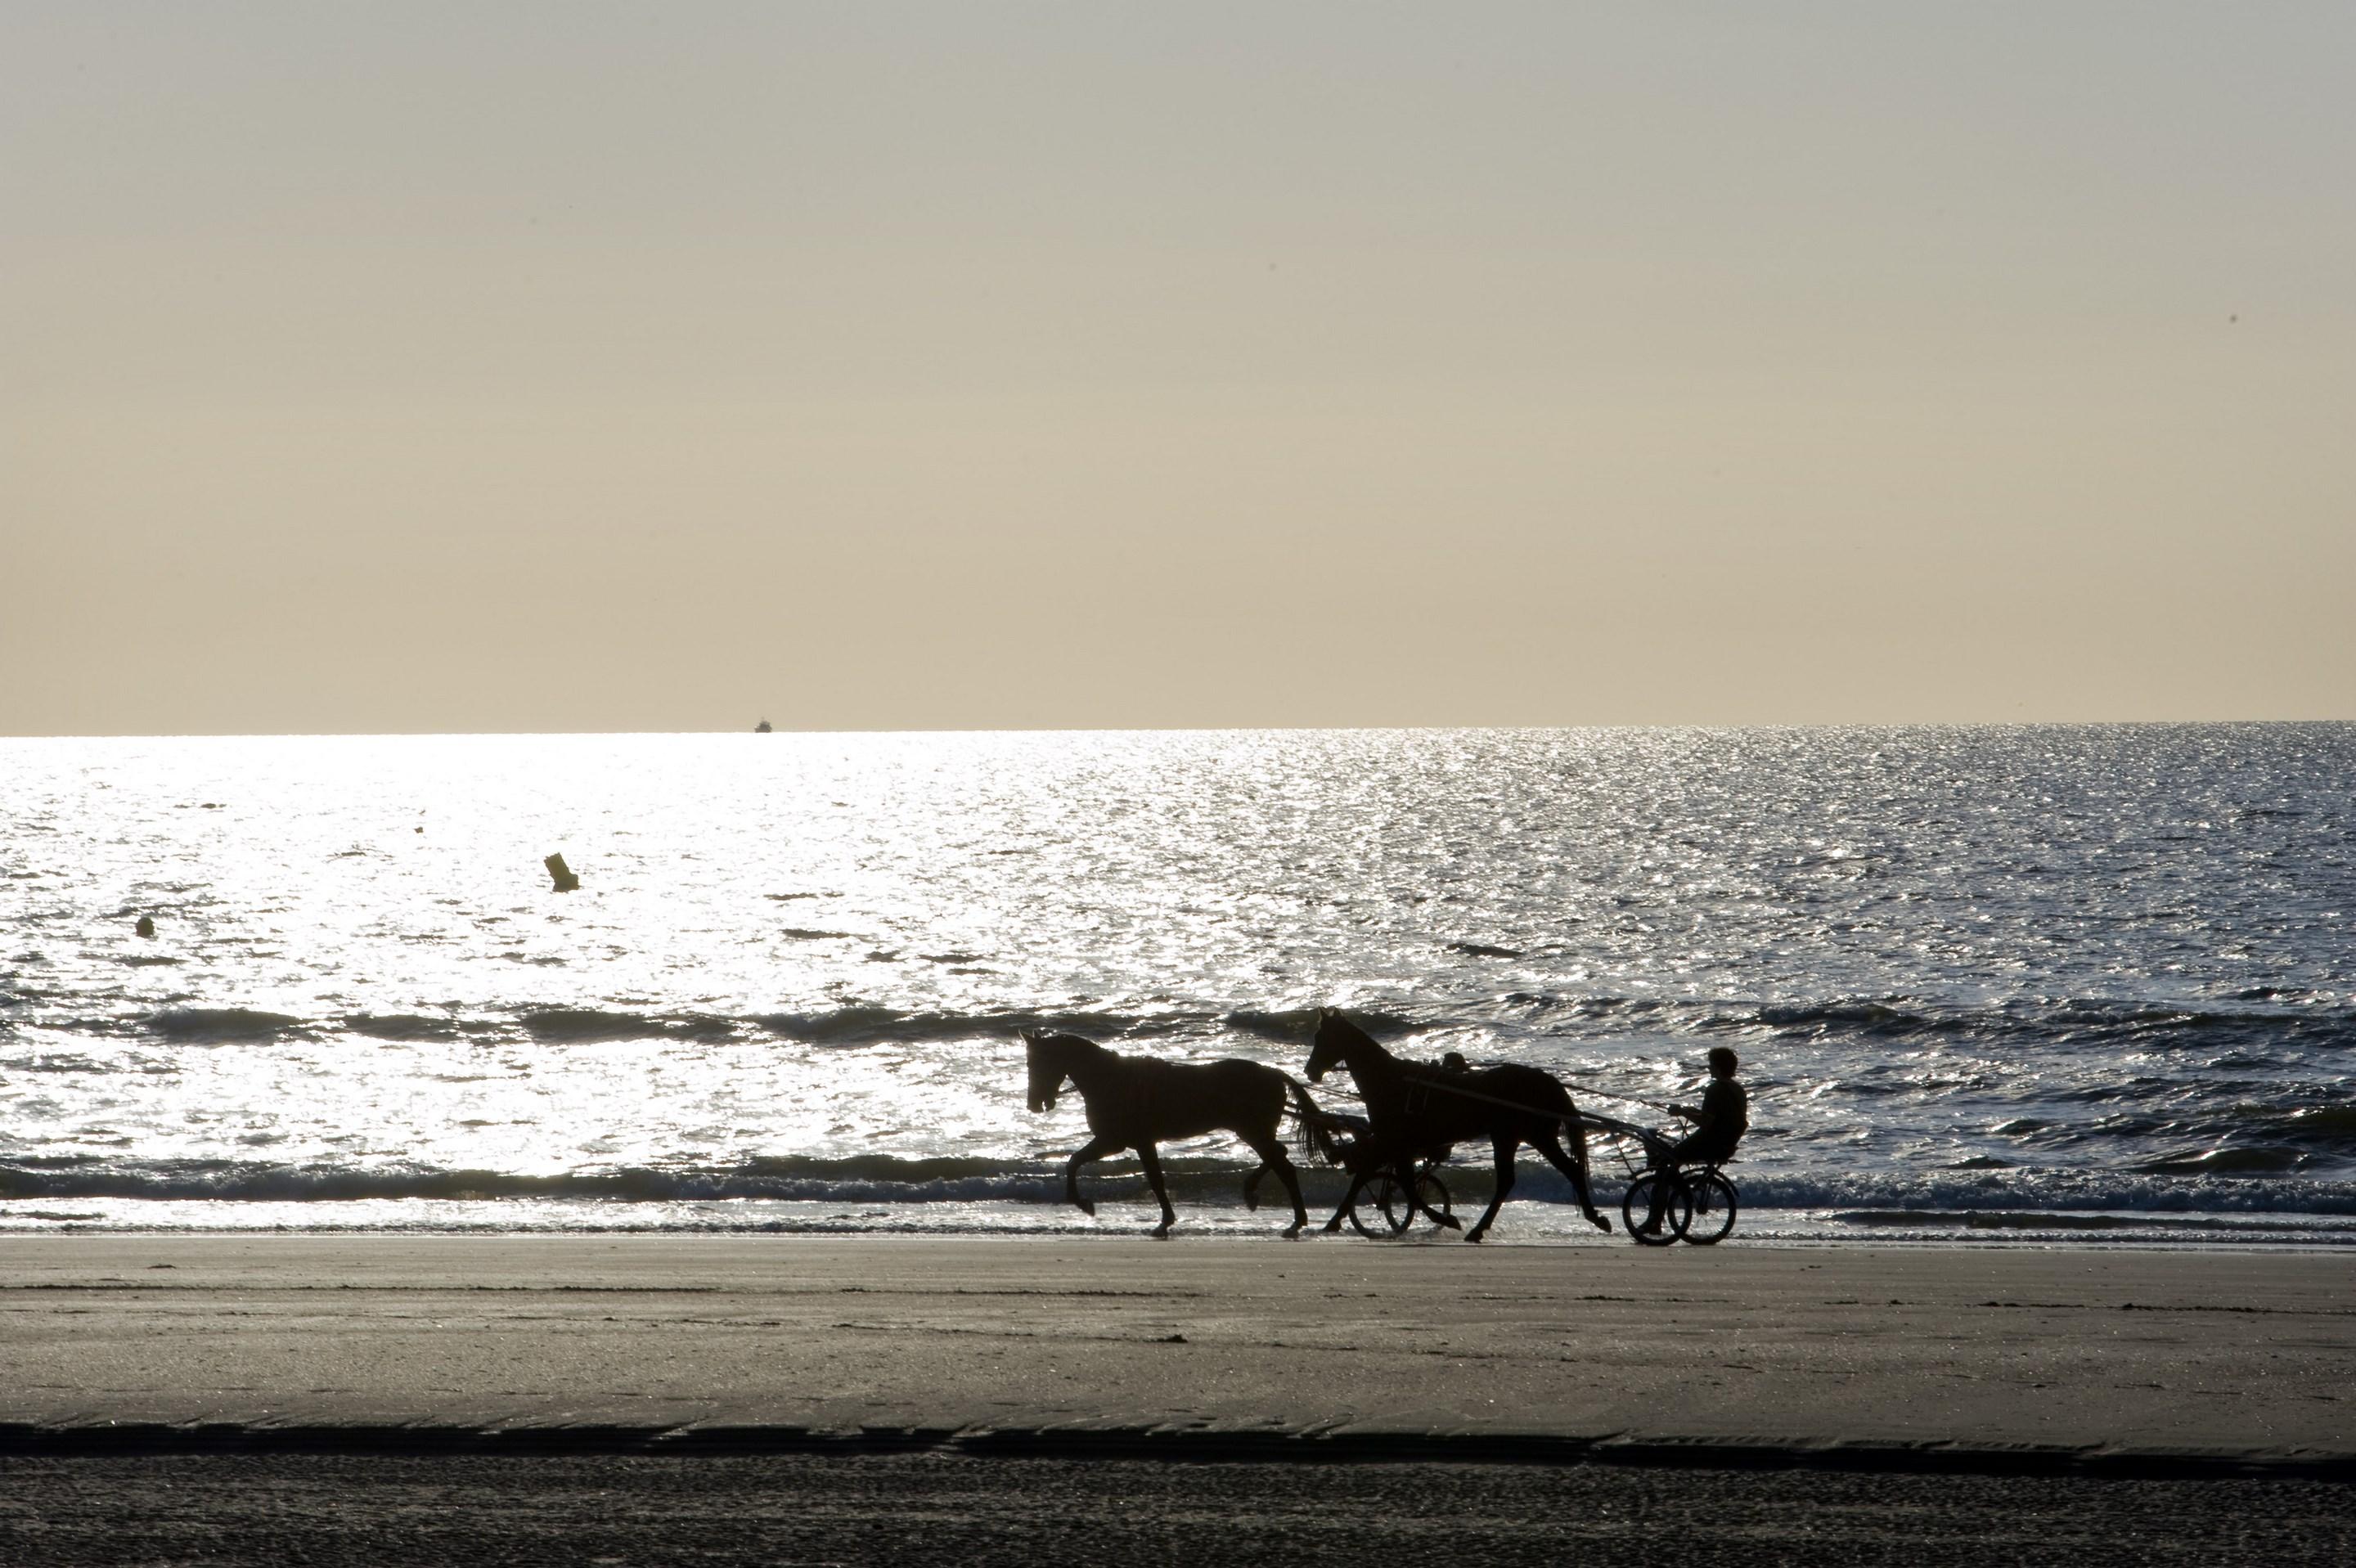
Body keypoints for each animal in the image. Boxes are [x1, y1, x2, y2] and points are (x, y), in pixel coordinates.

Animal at [1022, 1026, 1338, 1233]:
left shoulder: (1118, 1141)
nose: (1034, 1104)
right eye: (1029, 1063)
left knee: (1283, 1166)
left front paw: (1085, 1203)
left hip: (1254, 1131)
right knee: (1277, 1157)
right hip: (1254, 1132)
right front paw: (1165, 1219)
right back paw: (1258, 1195)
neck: (1110, 1080)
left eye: (1041, 1063)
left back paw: (1294, 1219)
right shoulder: (1131, 1142)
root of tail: (1272, 1074)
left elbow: (1079, 1163)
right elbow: (1082, 1163)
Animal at [1300, 1007, 1611, 1242]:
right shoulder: (1392, 1144)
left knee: (1554, 1173)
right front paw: (1334, 1221)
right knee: (1524, 1178)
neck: (1391, 1082)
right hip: (1516, 1136)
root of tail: (1547, 1082)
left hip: (1527, 1136)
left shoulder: (1395, 1143)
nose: (1310, 1071)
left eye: (1321, 1036)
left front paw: (1445, 1219)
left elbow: (1407, 1187)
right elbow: (1367, 1177)